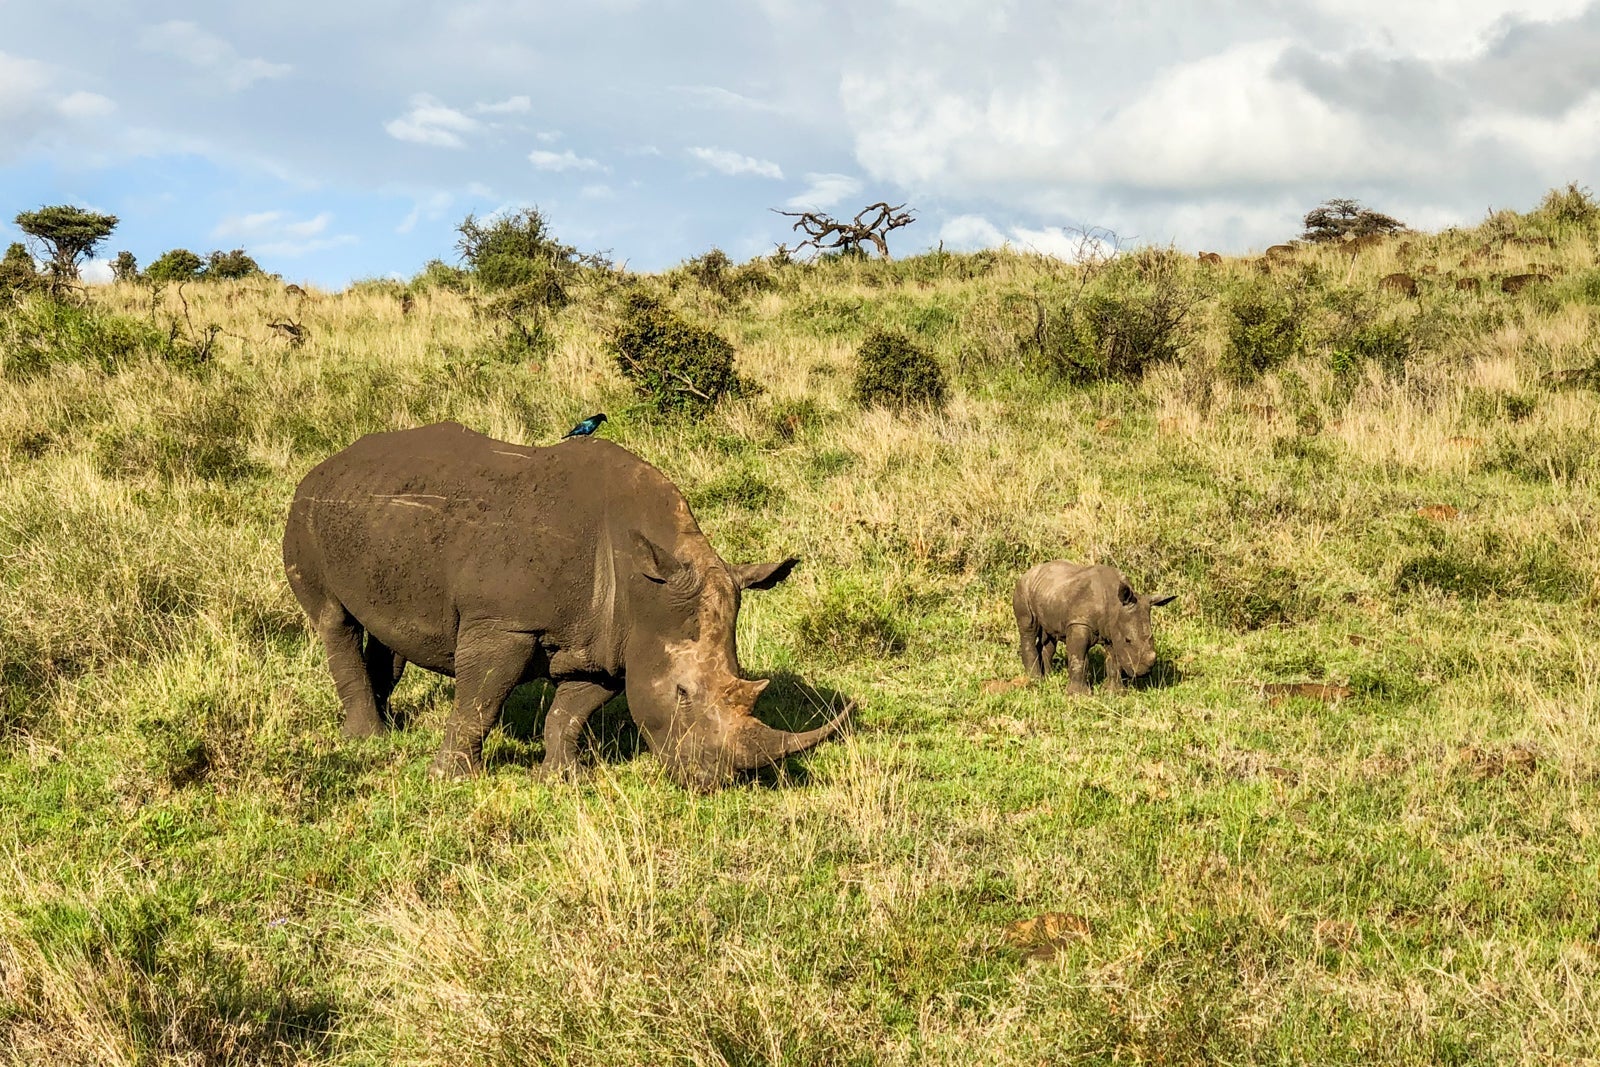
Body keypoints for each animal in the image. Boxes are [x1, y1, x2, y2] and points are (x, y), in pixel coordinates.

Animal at [282, 422, 846, 791]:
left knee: (384, 632)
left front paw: (560, 779)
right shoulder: (504, 624)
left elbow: (571, 712)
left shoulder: (612, 644)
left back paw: (388, 724)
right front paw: (450, 779)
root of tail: (327, 463)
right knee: (334, 621)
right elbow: (480, 702)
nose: (713, 780)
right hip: (304, 510)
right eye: (682, 694)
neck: (645, 581)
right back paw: (367, 739)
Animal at [1012, 562, 1174, 694]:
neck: (1114, 605)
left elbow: (1113, 661)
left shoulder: (1113, 629)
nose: (1145, 671)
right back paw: (1035, 680)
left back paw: (1049, 677)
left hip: (1050, 592)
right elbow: (1078, 658)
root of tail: (1029, 571)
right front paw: (1078, 695)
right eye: (1128, 640)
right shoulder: (1079, 622)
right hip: (1023, 588)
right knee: (1028, 628)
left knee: (1049, 637)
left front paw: (1114, 693)